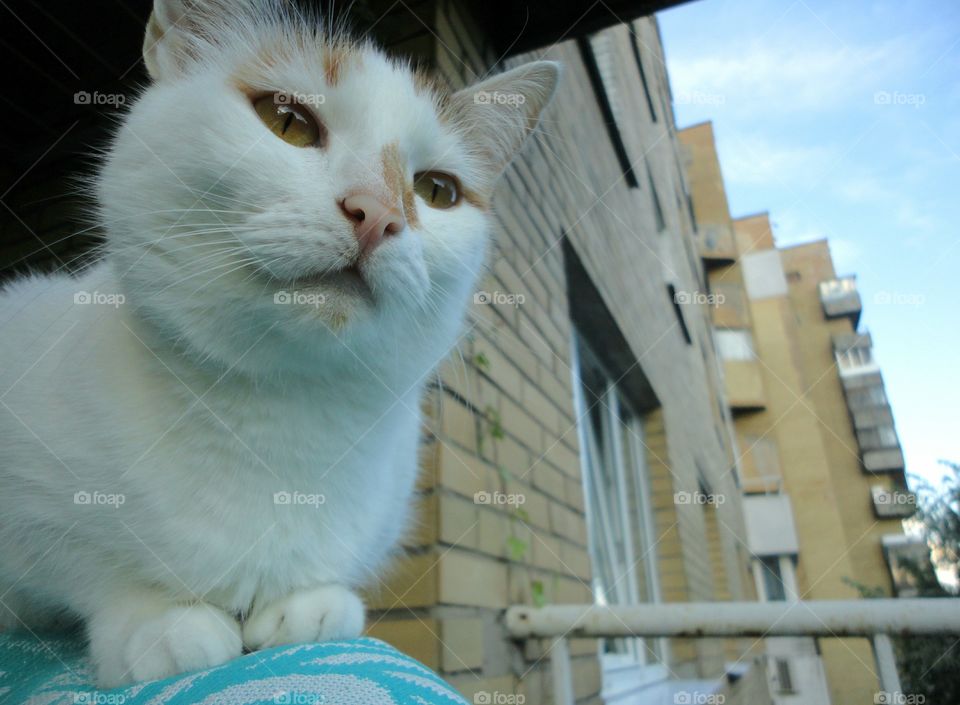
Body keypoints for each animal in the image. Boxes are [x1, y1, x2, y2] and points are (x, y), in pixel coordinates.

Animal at [0, 0, 556, 680]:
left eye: (437, 191)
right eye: (287, 121)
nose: (377, 212)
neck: (277, 413)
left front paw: (311, 604)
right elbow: (92, 571)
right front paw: (159, 626)